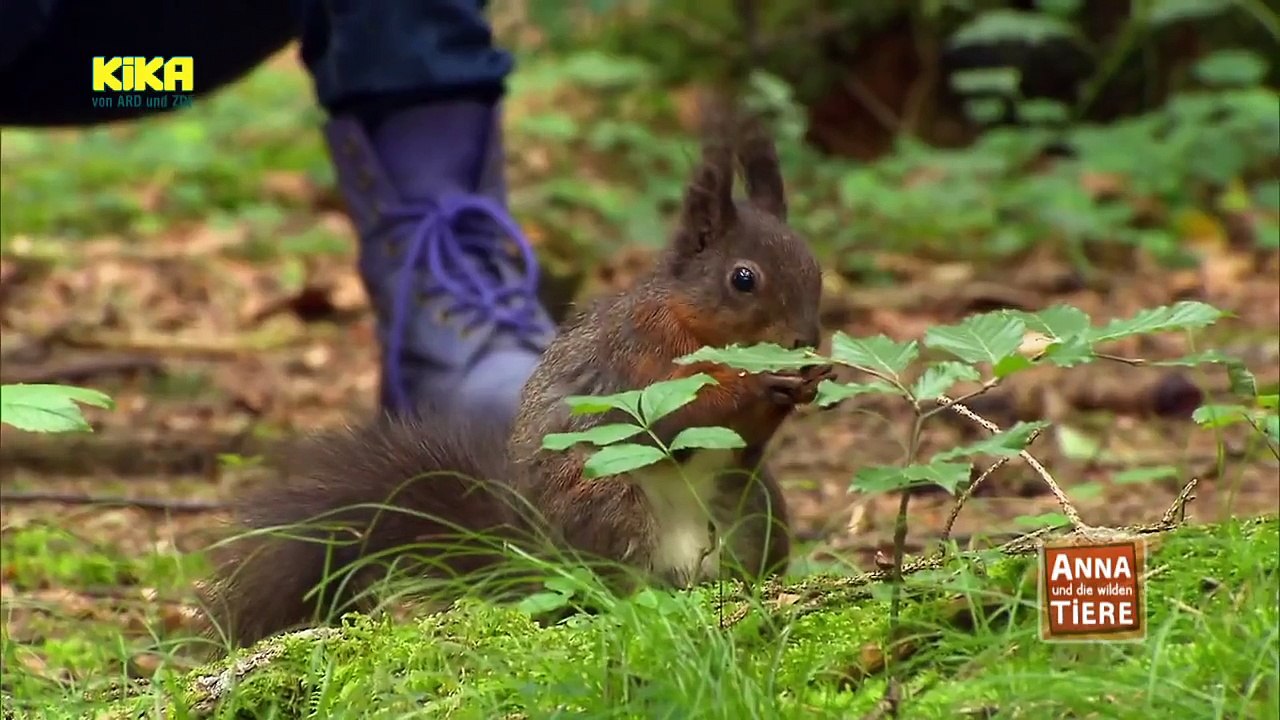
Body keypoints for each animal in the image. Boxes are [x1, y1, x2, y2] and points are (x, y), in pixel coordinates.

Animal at [199, 106, 833, 649]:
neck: (691, 320)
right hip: (607, 503)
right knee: (614, 588)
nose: (805, 338)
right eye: (743, 278)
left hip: (754, 512)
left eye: (814, 265)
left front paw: (807, 381)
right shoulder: (637, 361)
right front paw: (758, 382)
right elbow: (675, 417)